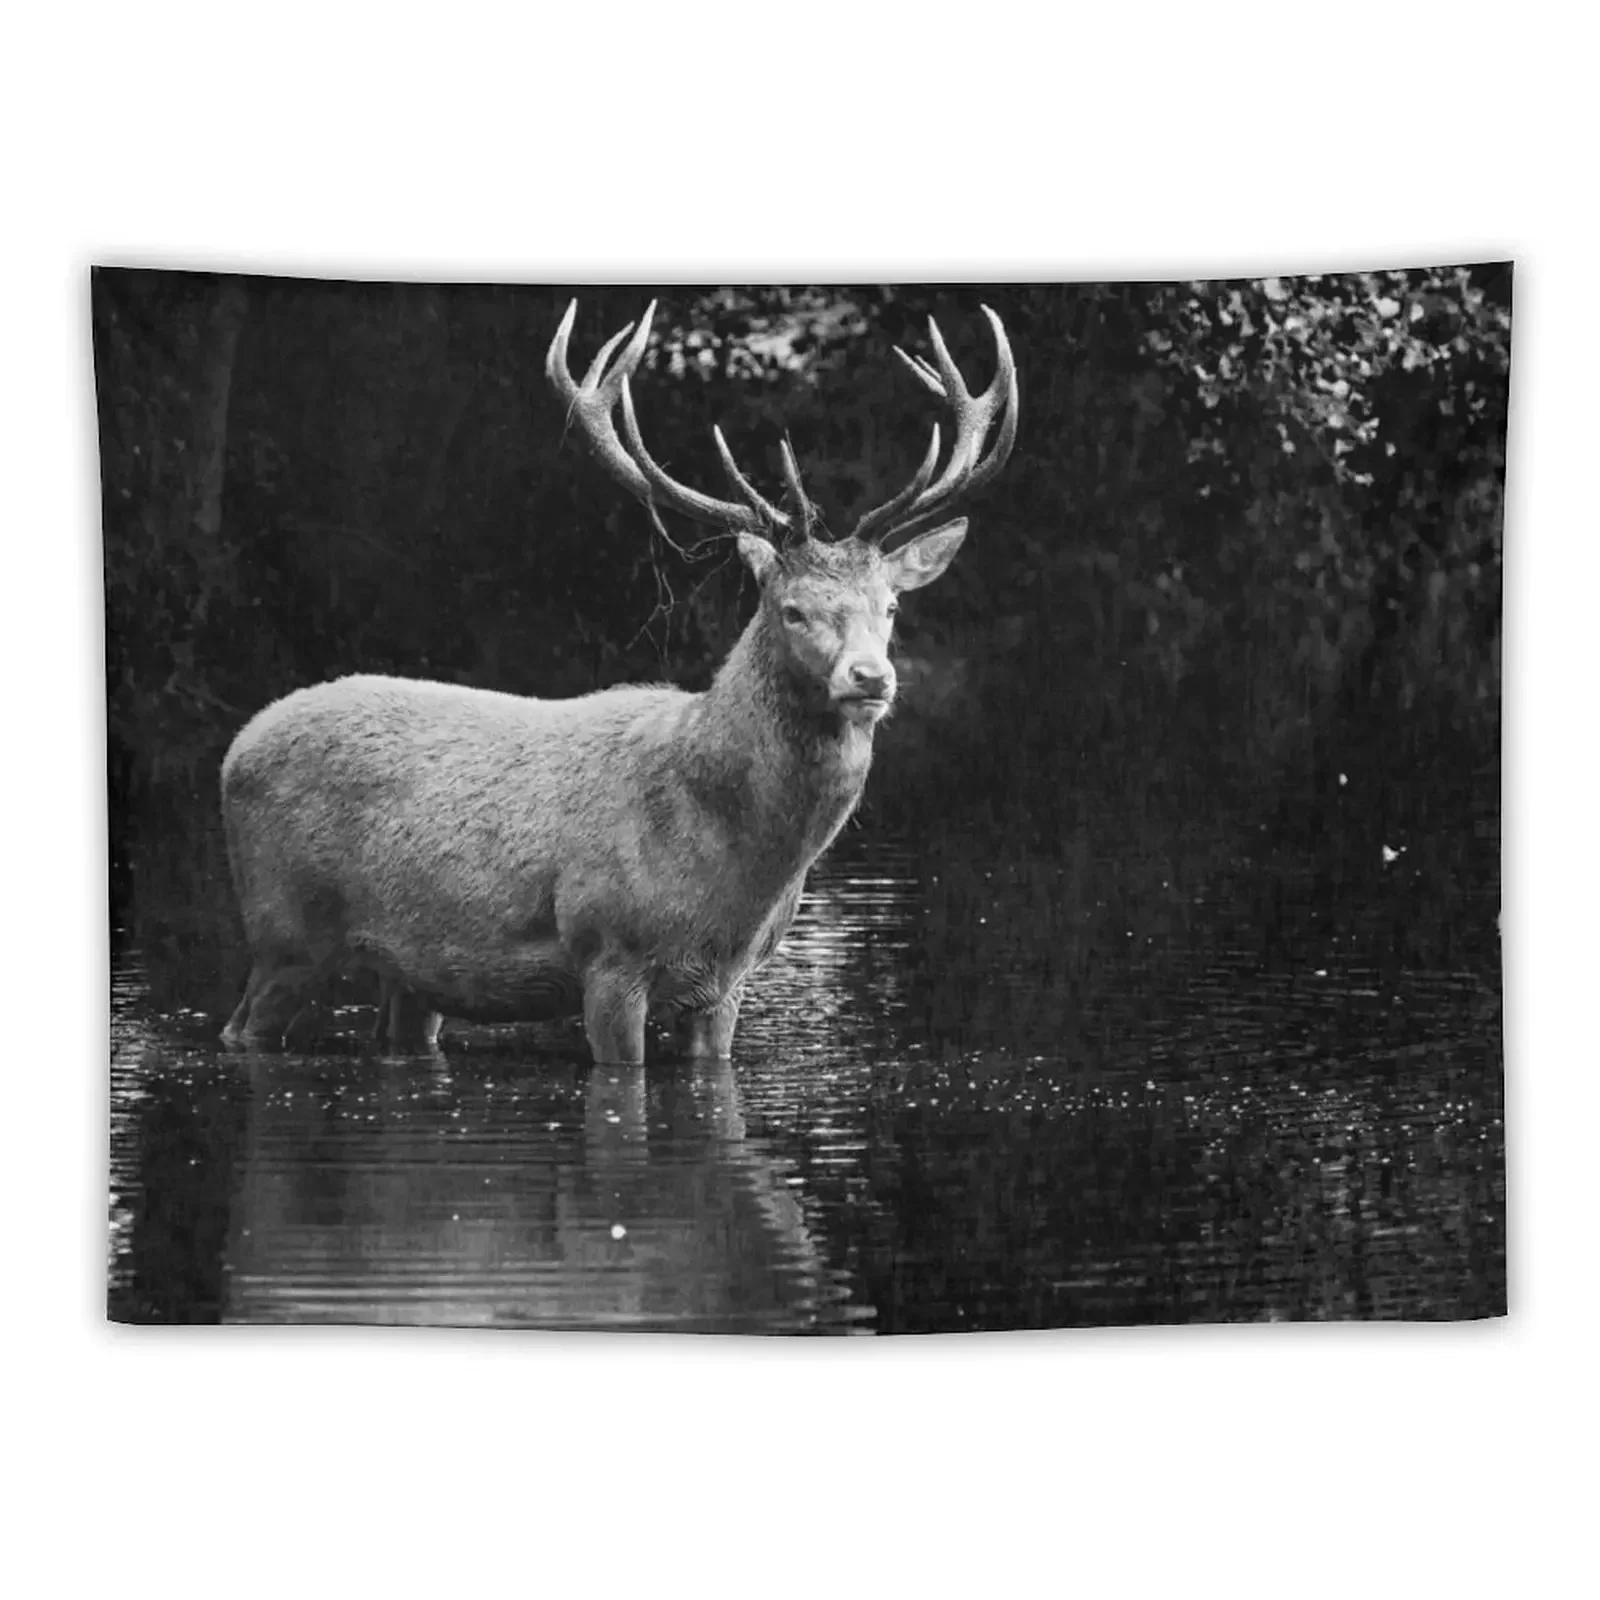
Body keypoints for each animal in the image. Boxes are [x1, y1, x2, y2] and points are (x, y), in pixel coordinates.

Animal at [219, 297, 1017, 1064]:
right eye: (791, 608)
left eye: (891, 605)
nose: (871, 677)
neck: (734, 869)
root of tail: (236, 748)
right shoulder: (607, 949)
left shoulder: (728, 984)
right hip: (283, 928)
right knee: (242, 1028)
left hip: (410, 972)